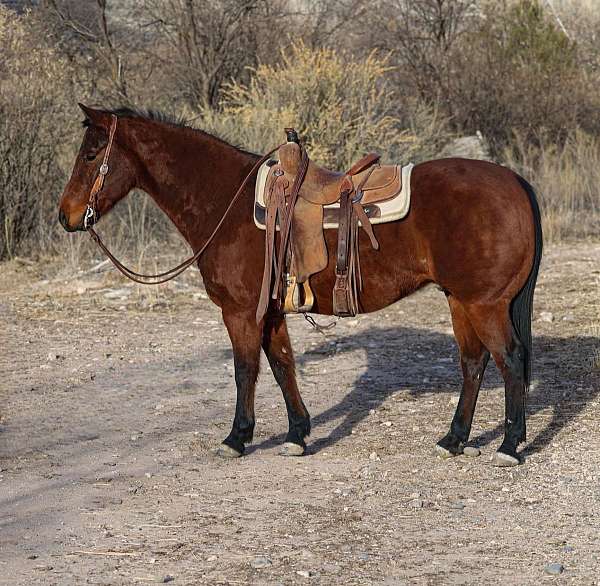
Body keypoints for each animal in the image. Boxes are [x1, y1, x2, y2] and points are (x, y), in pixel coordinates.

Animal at [58, 105, 540, 466]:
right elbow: (282, 366)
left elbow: (245, 370)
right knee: (473, 363)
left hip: (484, 304)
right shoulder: (270, 311)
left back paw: (509, 446)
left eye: (90, 155)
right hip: (460, 300)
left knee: (510, 359)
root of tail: (514, 181)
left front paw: (237, 438)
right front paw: (297, 434)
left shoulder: (239, 311)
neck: (226, 201)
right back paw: (454, 439)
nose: (66, 216)